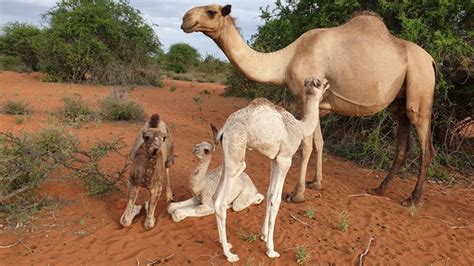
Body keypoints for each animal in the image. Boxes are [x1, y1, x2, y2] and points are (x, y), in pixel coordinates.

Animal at [181, 4, 436, 206]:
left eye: (211, 12)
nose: (185, 18)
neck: (285, 61)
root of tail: (432, 60)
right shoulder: (319, 103)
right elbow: (319, 143)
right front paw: (316, 183)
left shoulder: (305, 96)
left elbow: (305, 147)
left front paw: (297, 194)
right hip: (399, 104)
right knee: (402, 145)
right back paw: (379, 189)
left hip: (420, 87)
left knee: (426, 146)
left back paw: (413, 199)